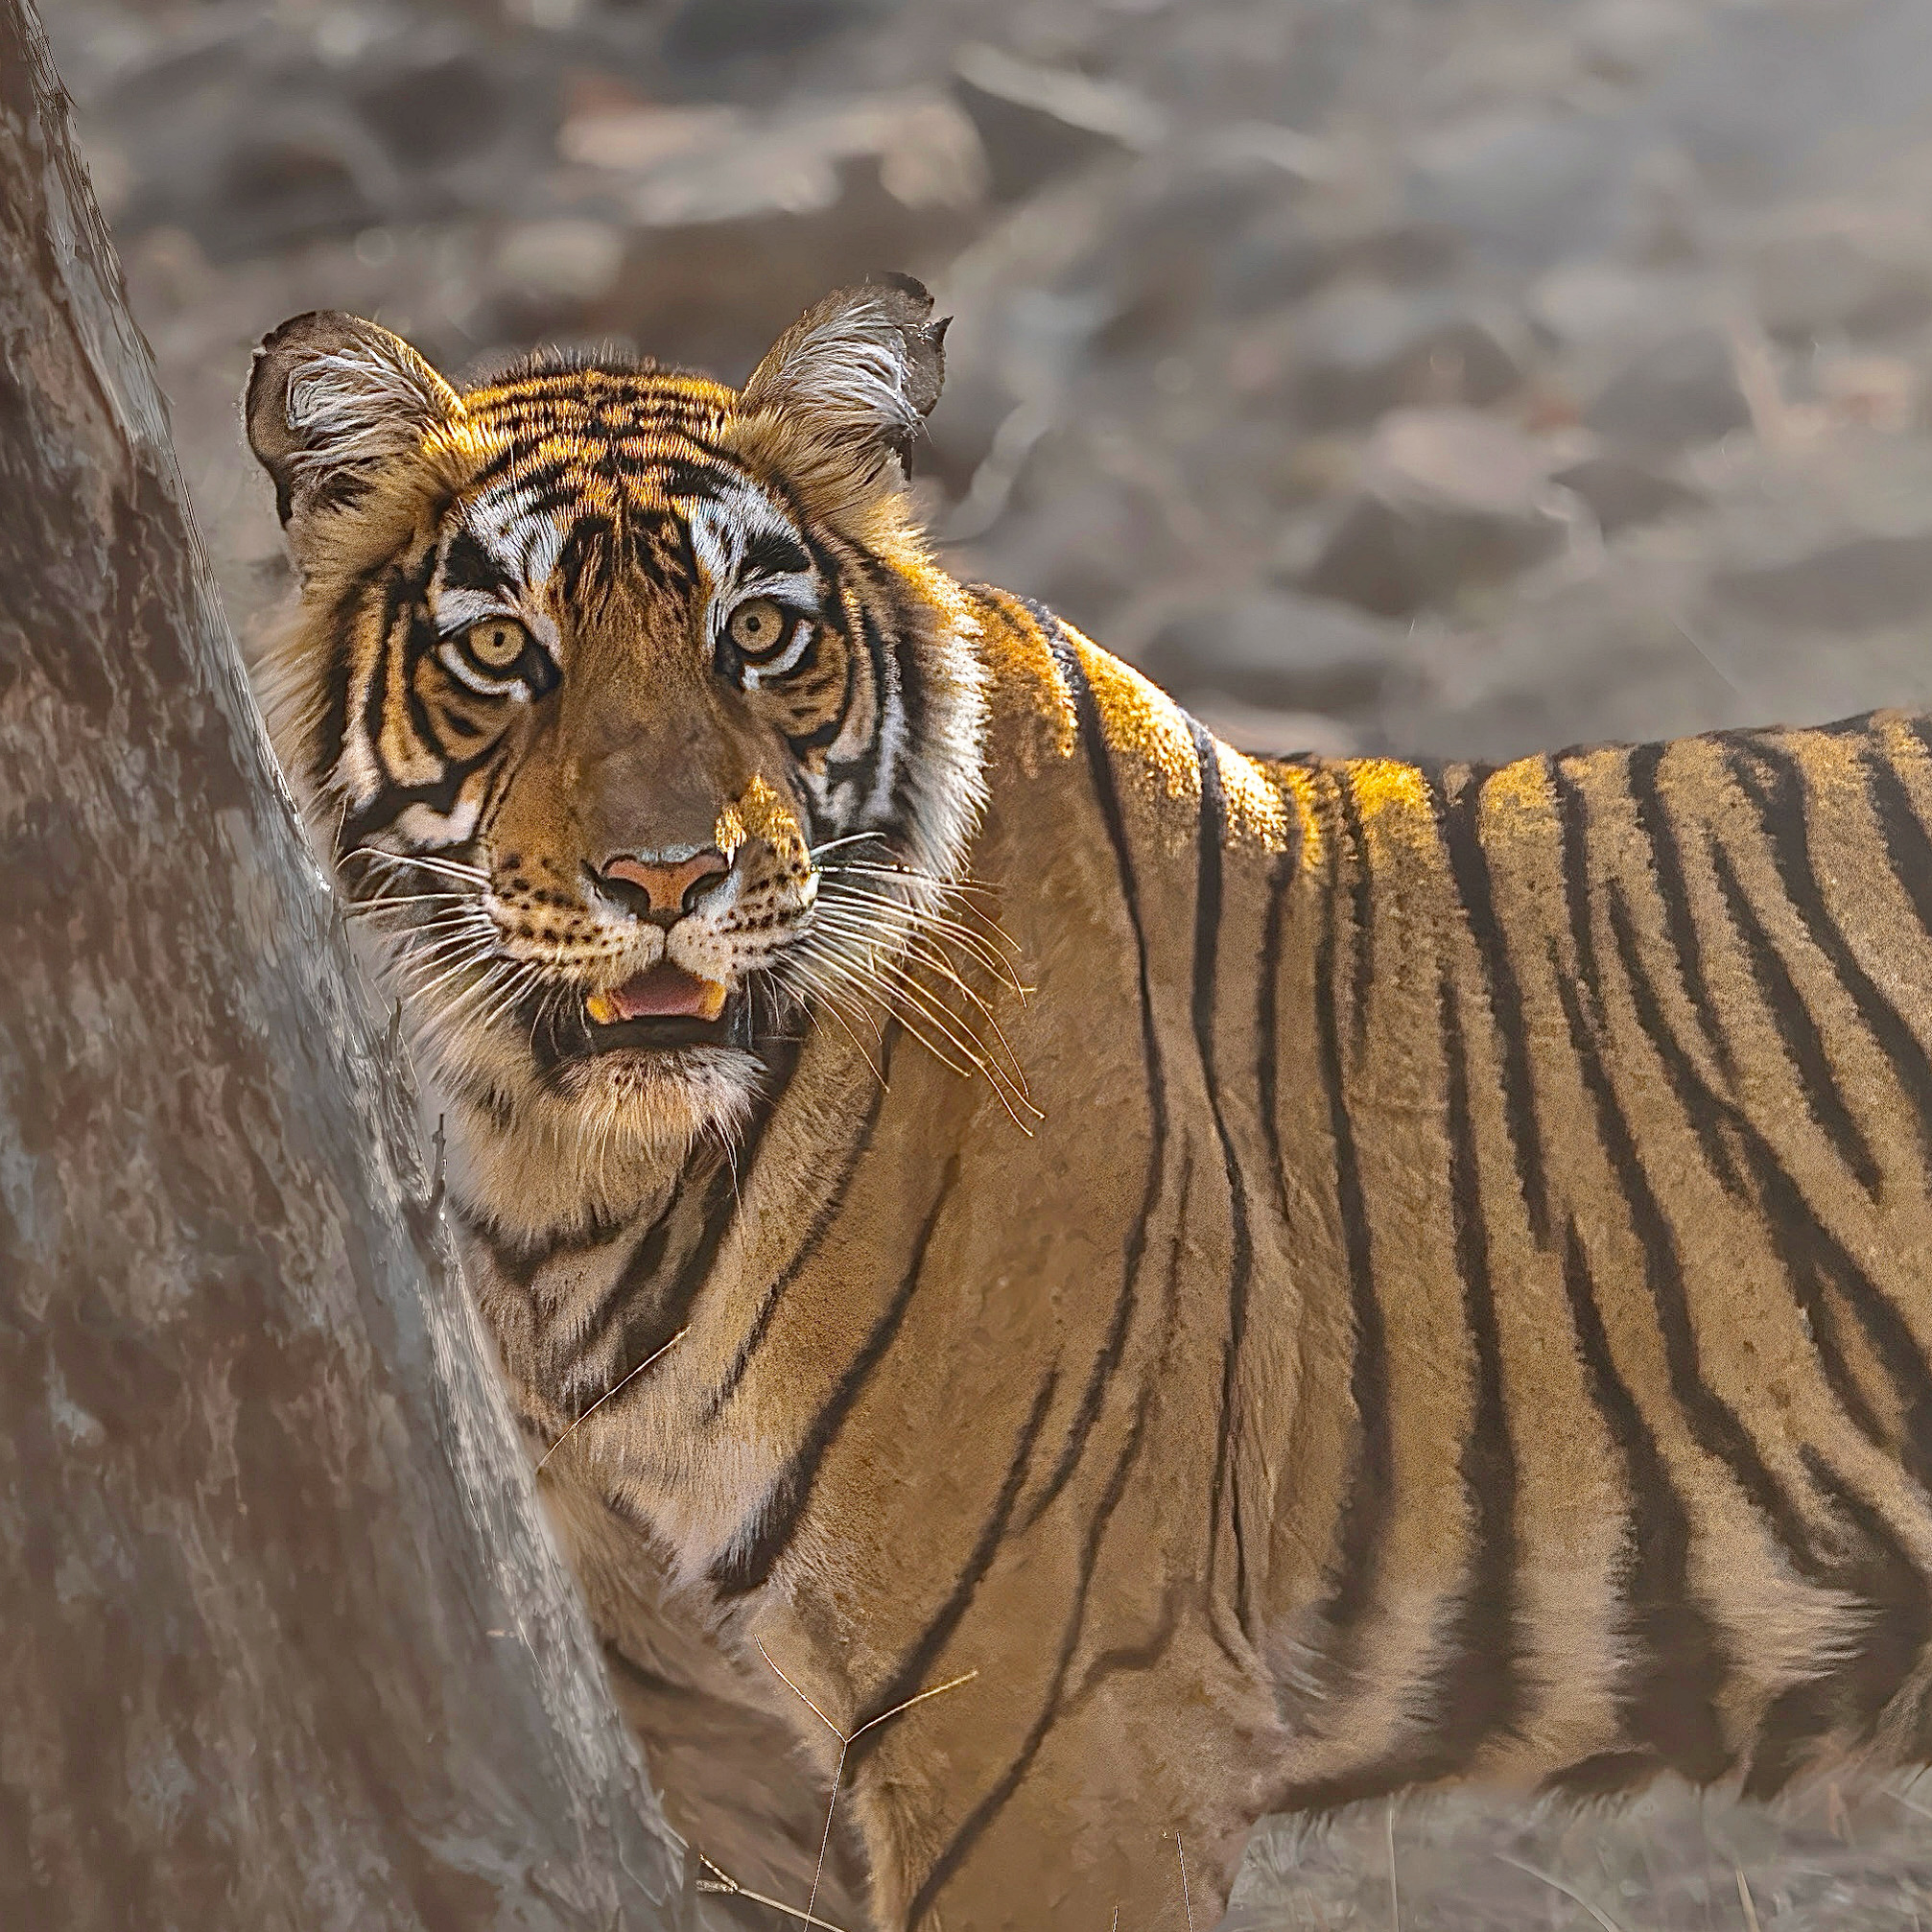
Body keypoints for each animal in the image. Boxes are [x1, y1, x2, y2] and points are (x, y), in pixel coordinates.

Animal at [245, 274, 1932, 1932]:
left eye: (760, 633)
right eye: (499, 651)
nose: (667, 880)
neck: (568, 1165)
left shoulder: (1058, 1712)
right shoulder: (711, 1748)